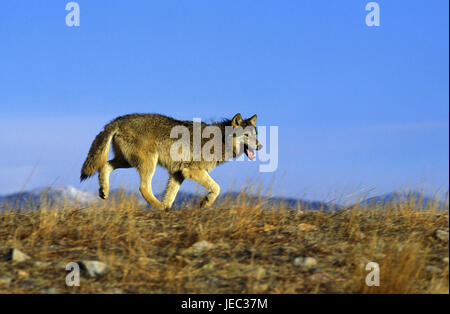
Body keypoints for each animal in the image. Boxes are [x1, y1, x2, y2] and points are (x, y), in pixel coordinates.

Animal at [79, 111, 262, 210]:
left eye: (255, 135)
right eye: (247, 135)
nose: (260, 146)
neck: (220, 140)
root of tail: (117, 120)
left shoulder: (177, 173)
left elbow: (170, 196)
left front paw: (167, 209)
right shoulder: (191, 170)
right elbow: (216, 188)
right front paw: (205, 203)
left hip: (128, 162)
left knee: (105, 166)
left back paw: (104, 191)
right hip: (148, 163)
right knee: (143, 187)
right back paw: (157, 206)